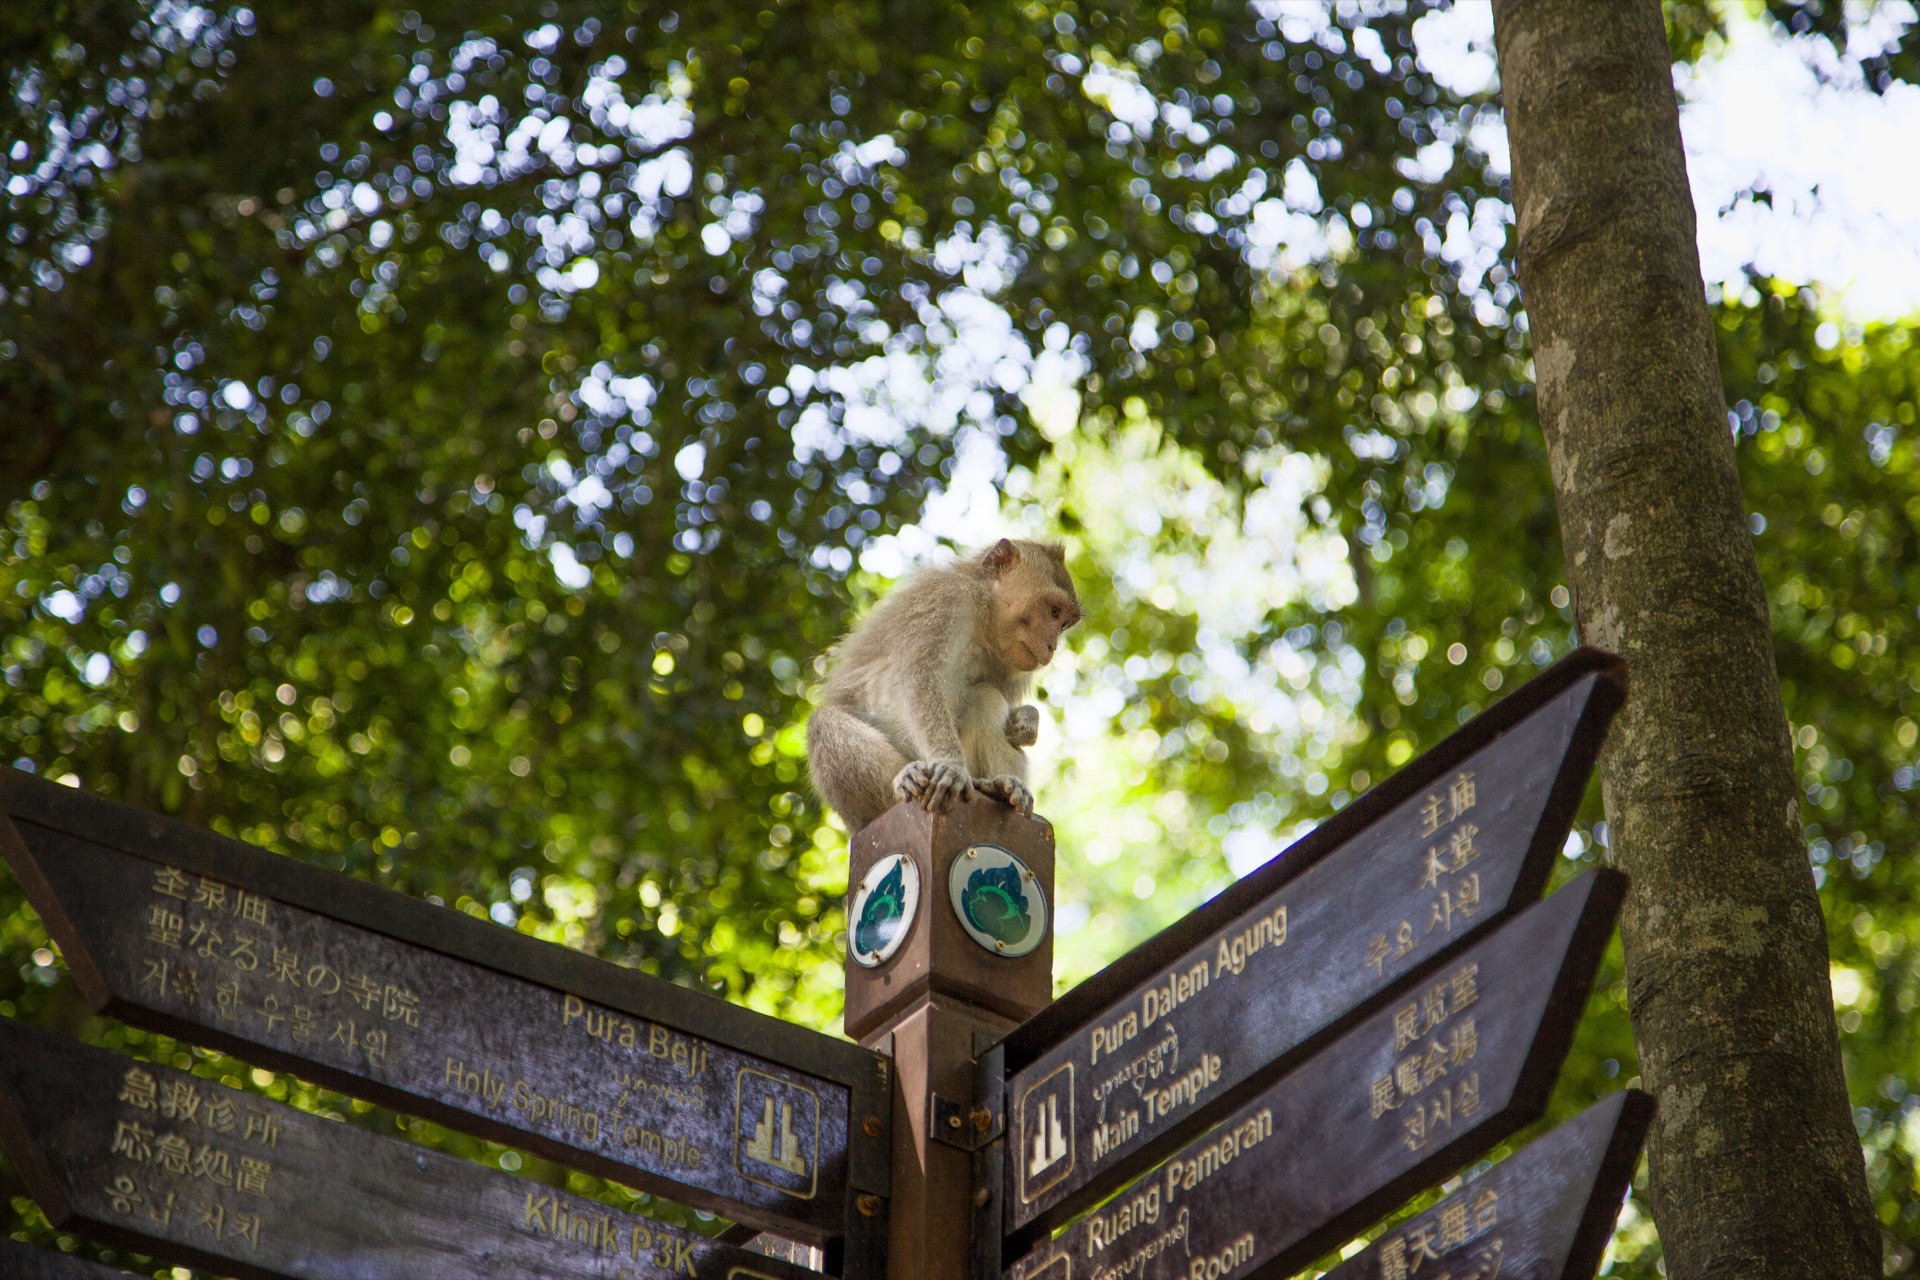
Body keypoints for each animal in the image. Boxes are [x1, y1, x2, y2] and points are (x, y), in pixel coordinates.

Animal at [806, 538, 1081, 834]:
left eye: (1064, 623)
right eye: (1054, 611)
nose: (1052, 646)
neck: (982, 620)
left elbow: (1006, 706)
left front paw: (1027, 721)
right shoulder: (944, 600)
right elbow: (919, 677)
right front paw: (950, 766)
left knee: (986, 696)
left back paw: (1004, 787)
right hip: (869, 809)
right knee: (823, 723)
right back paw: (903, 780)